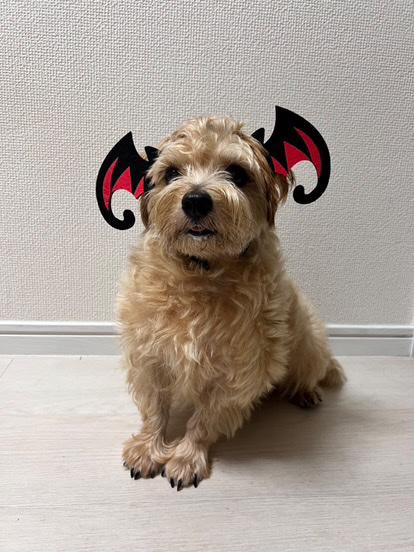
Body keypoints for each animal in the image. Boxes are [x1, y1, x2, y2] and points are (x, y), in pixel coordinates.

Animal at [118, 115, 345, 490]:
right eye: (171, 173)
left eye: (238, 173)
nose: (195, 200)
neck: (201, 272)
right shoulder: (149, 357)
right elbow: (155, 408)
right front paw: (149, 449)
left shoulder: (238, 374)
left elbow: (204, 420)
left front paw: (185, 458)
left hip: (309, 342)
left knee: (311, 370)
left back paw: (306, 391)